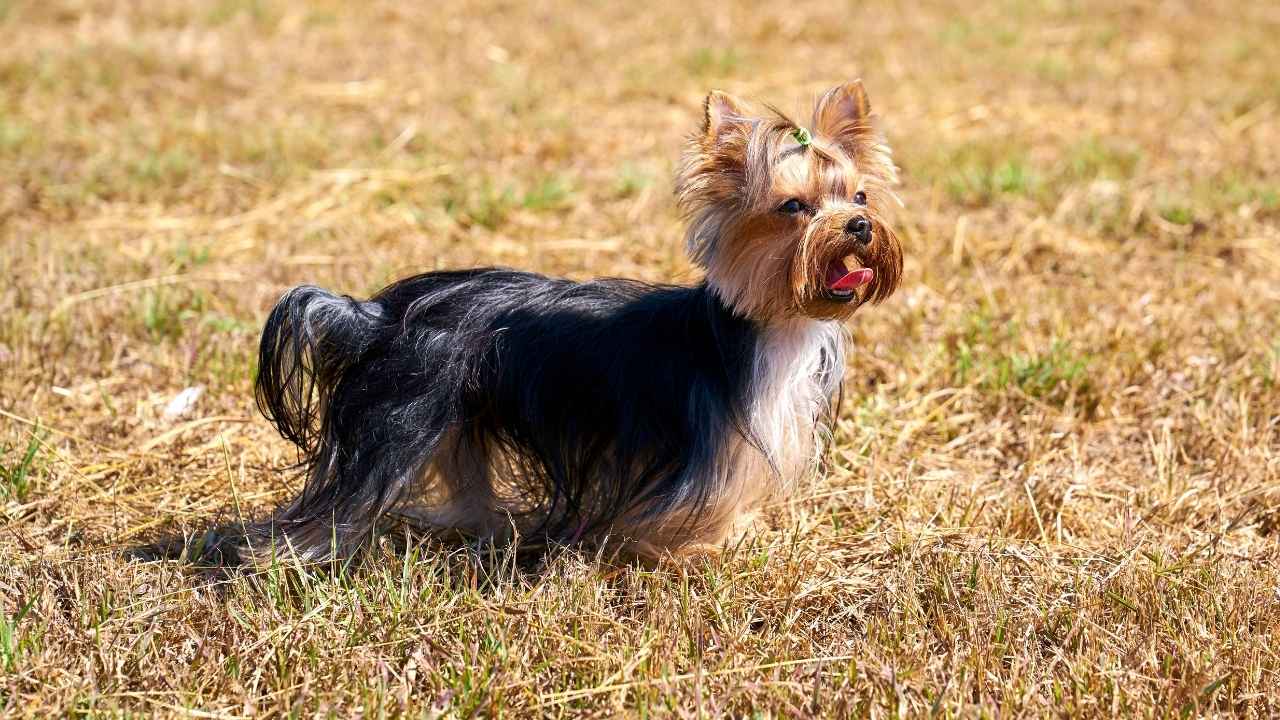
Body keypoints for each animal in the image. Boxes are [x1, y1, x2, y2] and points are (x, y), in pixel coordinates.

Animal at [247, 81, 901, 558]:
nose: (859, 226)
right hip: (400, 418)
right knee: (340, 500)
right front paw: (701, 551)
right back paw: (287, 556)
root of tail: (378, 314)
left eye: (860, 197)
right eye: (793, 206)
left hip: (457, 410)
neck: (779, 324)